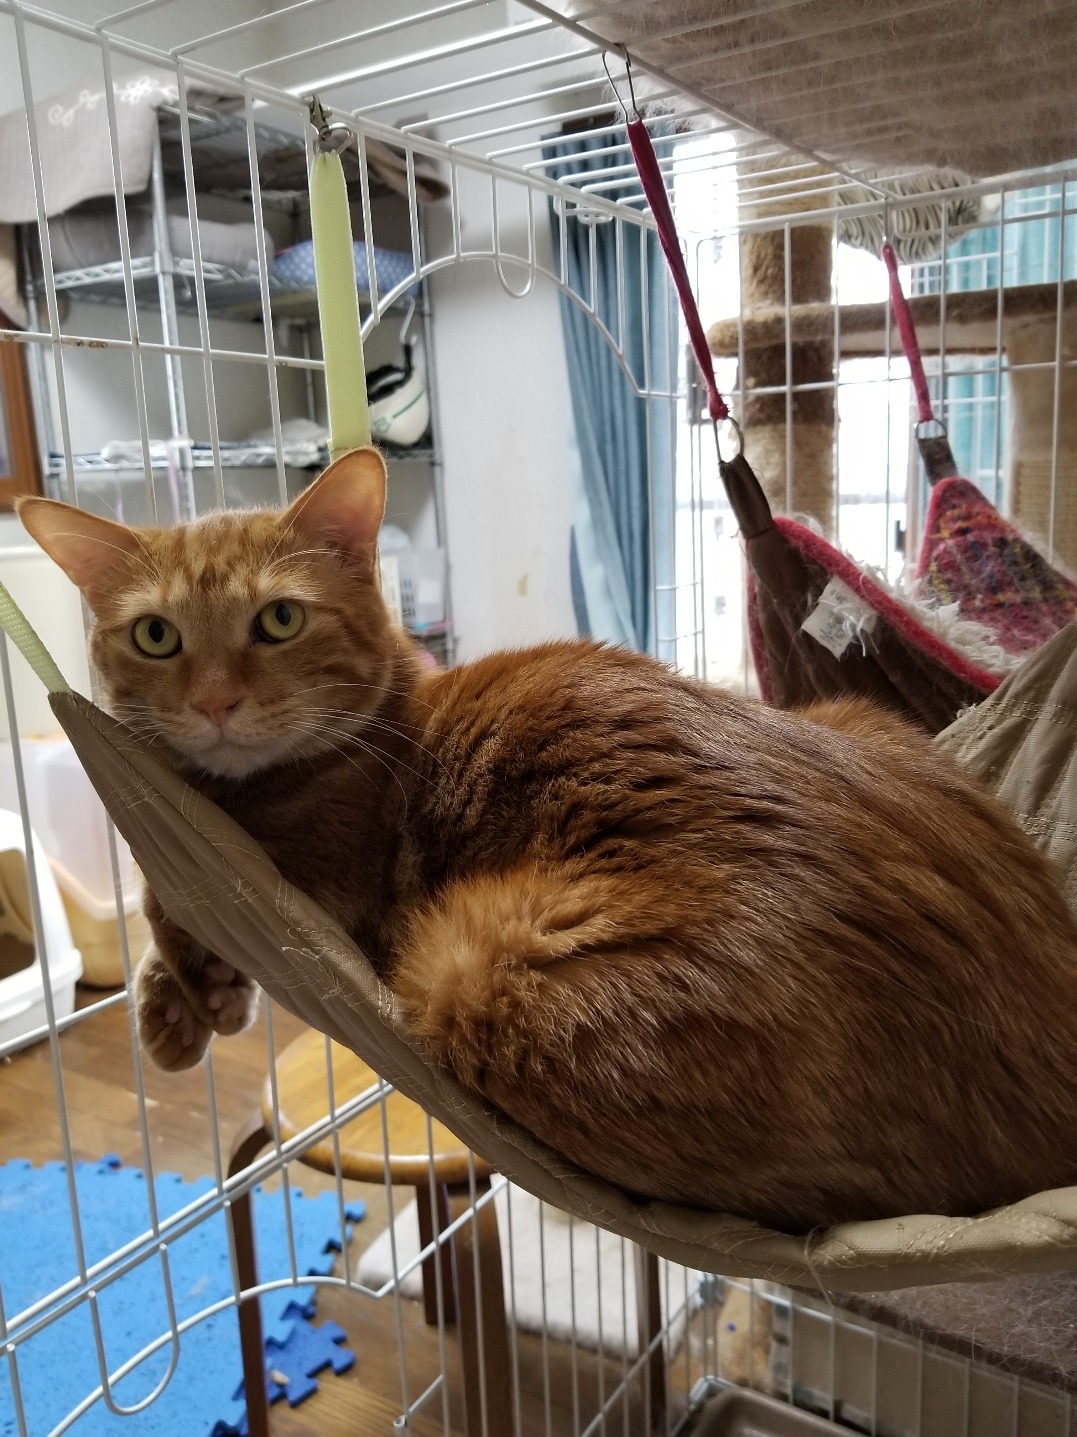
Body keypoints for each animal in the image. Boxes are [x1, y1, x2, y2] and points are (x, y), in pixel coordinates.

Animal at [19, 446, 1077, 1233]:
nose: (214, 704)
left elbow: (166, 897)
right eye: (156, 636)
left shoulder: (320, 882)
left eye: (278, 618)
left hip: (473, 969)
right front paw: (179, 1008)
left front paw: (192, 1000)